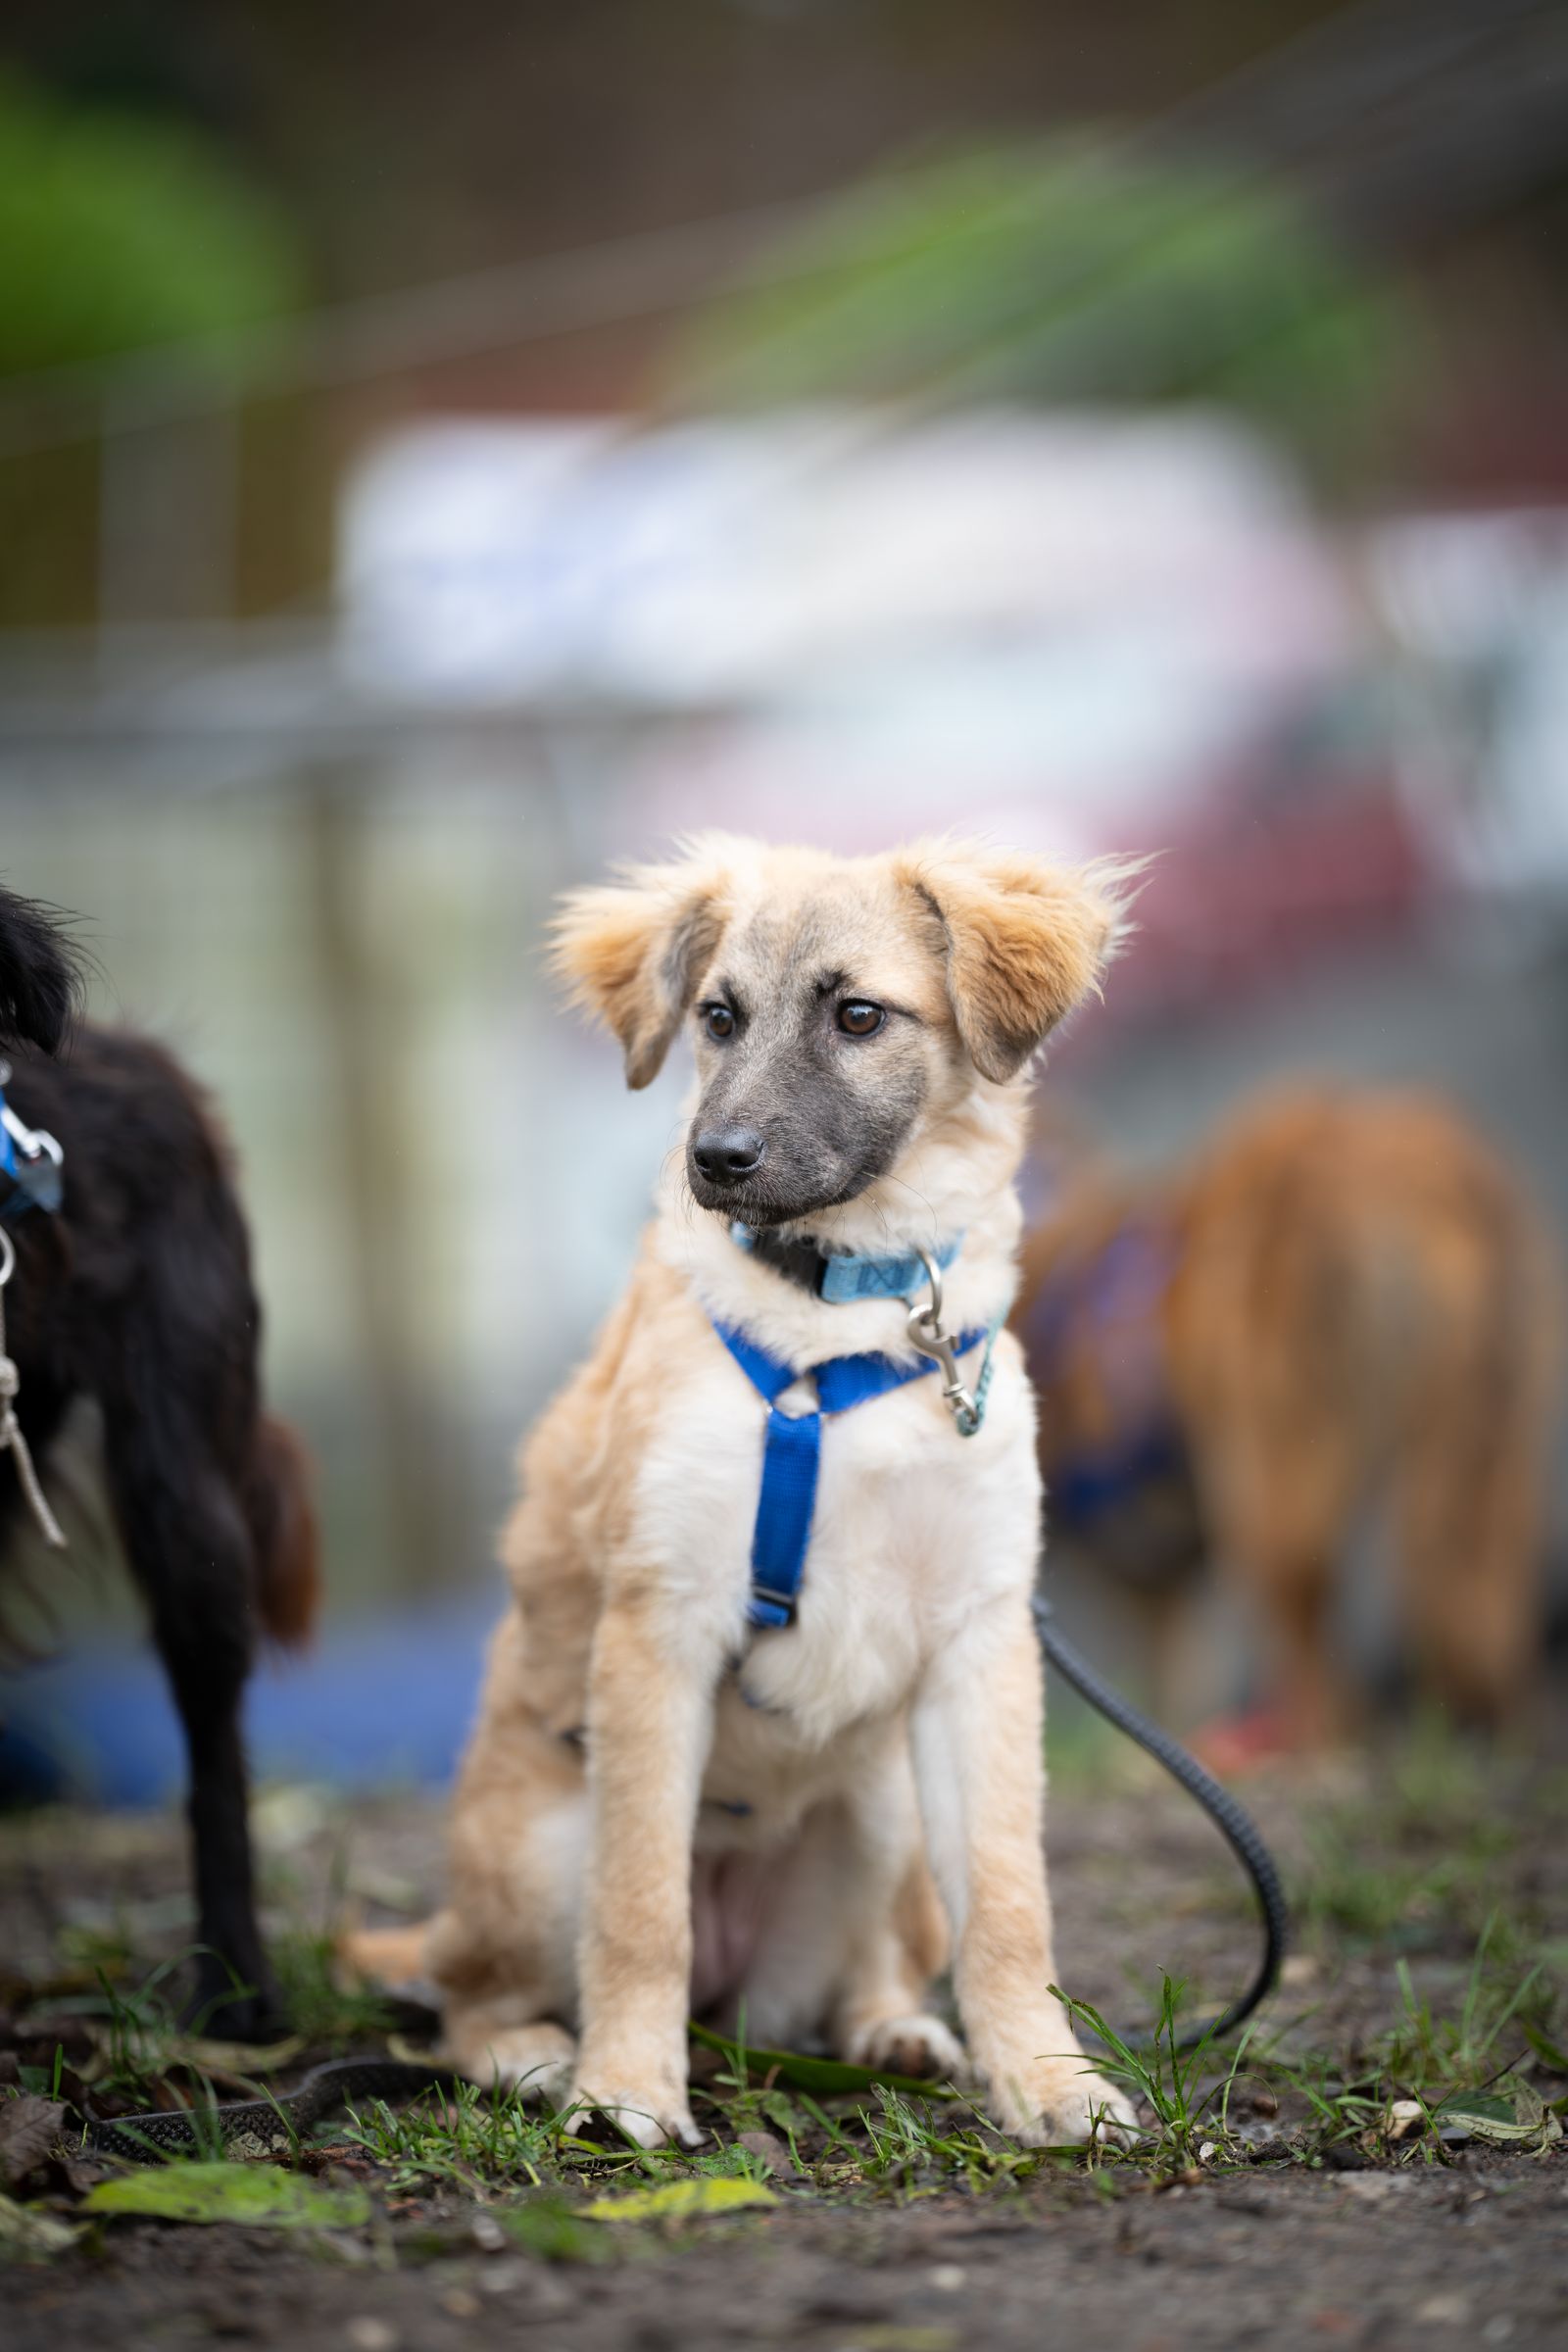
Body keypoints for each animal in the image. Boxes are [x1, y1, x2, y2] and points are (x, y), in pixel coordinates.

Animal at [348, 835, 1138, 2148]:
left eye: (858, 1015)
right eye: (717, 1017)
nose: (714, 1162)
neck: (842, 1318)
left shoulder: (977, 1643)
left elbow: (1007, 1904)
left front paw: (1047, 2081)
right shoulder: (658, 1627)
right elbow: (637, 1909)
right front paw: (625, 2090)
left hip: (882, 1810)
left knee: (854, 1977)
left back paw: (890, 2031)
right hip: (538, 1849)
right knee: (467, 1995)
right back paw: (535, 2054)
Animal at [1017, 1086, 1562, 1750]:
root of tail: (1423, 1174)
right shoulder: (1162, 1585)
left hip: (1271, 1499)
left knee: (1328, 1692)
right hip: (1485, 1461)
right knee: (1481, 1629)